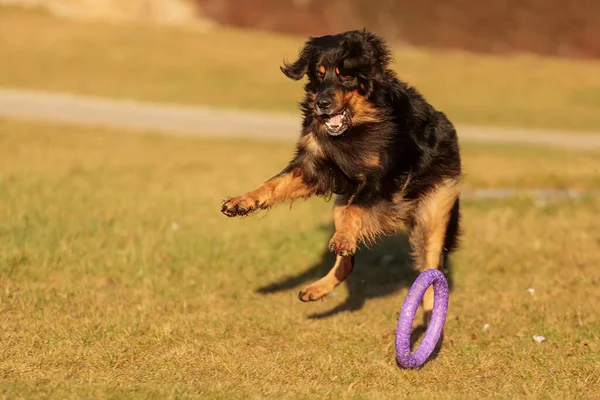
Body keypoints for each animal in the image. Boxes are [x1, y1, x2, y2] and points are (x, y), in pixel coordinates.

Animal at [223, 29, 462, 320]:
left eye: (346, 75)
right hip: (340, 204)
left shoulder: (379, 179)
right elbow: (274, 184)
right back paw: (316, 288)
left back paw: (428, 315)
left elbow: (356, 208)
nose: (322, 104)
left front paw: (344, 239)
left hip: (434, 212)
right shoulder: (313, 166)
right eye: (319, 74)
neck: (355, 127)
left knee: (431, 267)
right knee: (347, 260)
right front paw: (241, 202)